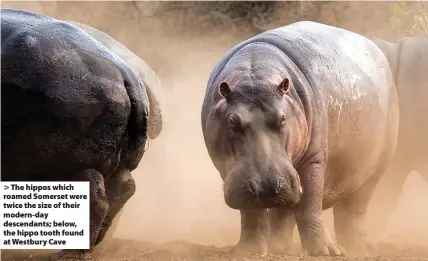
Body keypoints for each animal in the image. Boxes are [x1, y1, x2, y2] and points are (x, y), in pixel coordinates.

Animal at [202, 20, 400, 256]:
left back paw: (358, 247)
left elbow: (310, 204)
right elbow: (252, 213)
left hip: (376, 168)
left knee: (356, 207)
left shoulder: (313, 159)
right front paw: (248, 251)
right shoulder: (230, 171)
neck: (256, 72)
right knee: (288, 212)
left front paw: (326, 252)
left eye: (283, 118)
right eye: (232, 121)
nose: (265, 186)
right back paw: (280, 247)